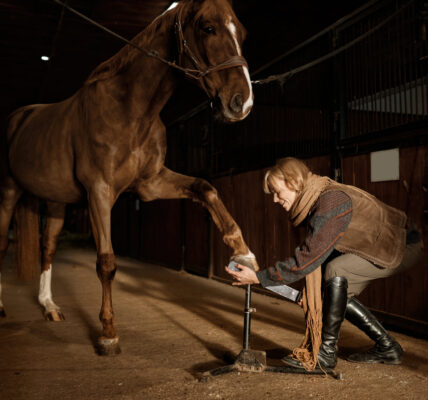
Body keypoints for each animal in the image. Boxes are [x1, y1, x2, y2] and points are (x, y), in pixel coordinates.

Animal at [0, 0, 258, 356]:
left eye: (243, 32)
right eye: (208, 28)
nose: (242, 102)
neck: (129, 110)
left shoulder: (152, 183)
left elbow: (205, 189)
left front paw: (242, 252)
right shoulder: (99, 191)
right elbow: (106, 262)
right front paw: (108, 333)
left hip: (54, 203)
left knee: (48, 247)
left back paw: (50, 306)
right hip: (9, 190)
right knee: (1, 243)